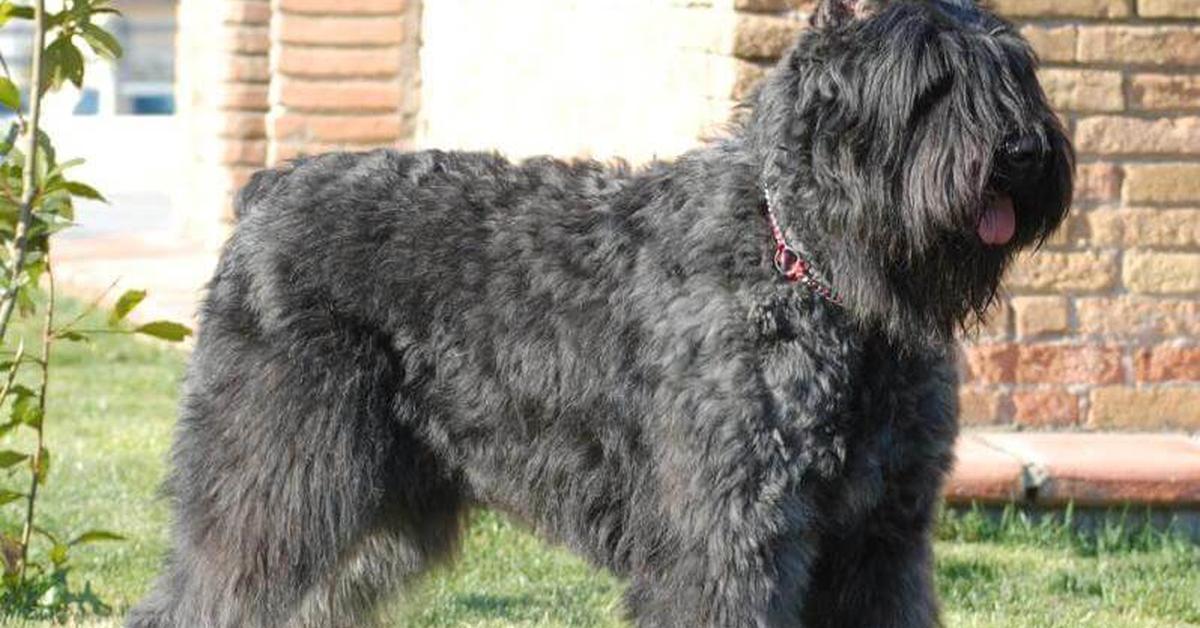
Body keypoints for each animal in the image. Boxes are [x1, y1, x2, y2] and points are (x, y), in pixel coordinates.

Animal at [129, 0, 1070, 624]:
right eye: (932, 81)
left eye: (1019, 72)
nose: (1024, 149)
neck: (807, 270)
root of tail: (265, 193)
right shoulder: (730, 536)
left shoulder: (881, 539)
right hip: (283, 477)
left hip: (380, 505)